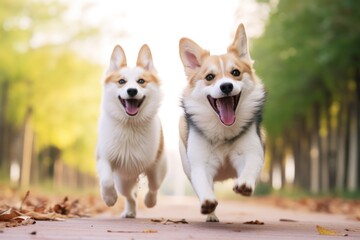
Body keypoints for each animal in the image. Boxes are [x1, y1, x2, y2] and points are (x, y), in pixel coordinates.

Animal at [97, 44, 167, 218]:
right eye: (121, 81)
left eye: (141, 81)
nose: (132, 91)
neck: (130, 125)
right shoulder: (103, 157)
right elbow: (106, 180)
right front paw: (109, 198)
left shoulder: (154, 165)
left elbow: (154, 186)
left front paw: (150, 201)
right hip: (123, 181)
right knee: (130, 196)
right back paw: (129, 211)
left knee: (149, 188)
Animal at [179, 23, 266, 222]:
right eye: (210, 77)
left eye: (236, 73)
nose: (226, 86)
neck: (223, 129)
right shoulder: (200, 164)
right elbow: (203, 183)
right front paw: (208, 203)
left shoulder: (251, 153)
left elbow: (250, 167)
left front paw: (245, 183)